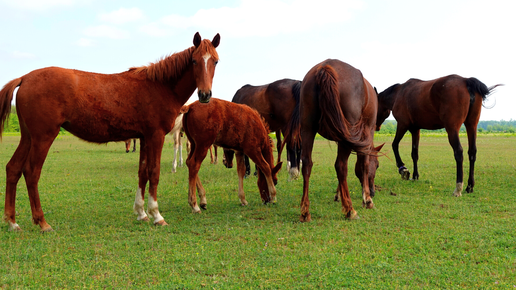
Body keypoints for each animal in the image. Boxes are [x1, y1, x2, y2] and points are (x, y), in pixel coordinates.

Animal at [0, 31, 220, 231]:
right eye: (194, 61)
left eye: (216, 61)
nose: (205, 95)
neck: (160, 86)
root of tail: (25, 78)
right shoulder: (155, 136)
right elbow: (154, 172)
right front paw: (156, 215)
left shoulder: (144, 137)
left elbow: (142, 172)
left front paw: (141, 213)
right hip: (43, 137)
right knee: (31, 172)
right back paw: (42, 222)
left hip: (28, 137)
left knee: (13, 169)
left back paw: (12, 222)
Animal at [282, 59, 378, 222]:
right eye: (377, 165)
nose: (373, 191)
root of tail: (325, 67)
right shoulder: (367, 132)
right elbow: (364, 164)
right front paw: (367, 200)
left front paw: (339, 194)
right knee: (341, 166)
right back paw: (350, 210)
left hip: (308, 128)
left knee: (307, 163)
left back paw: (305, 211)